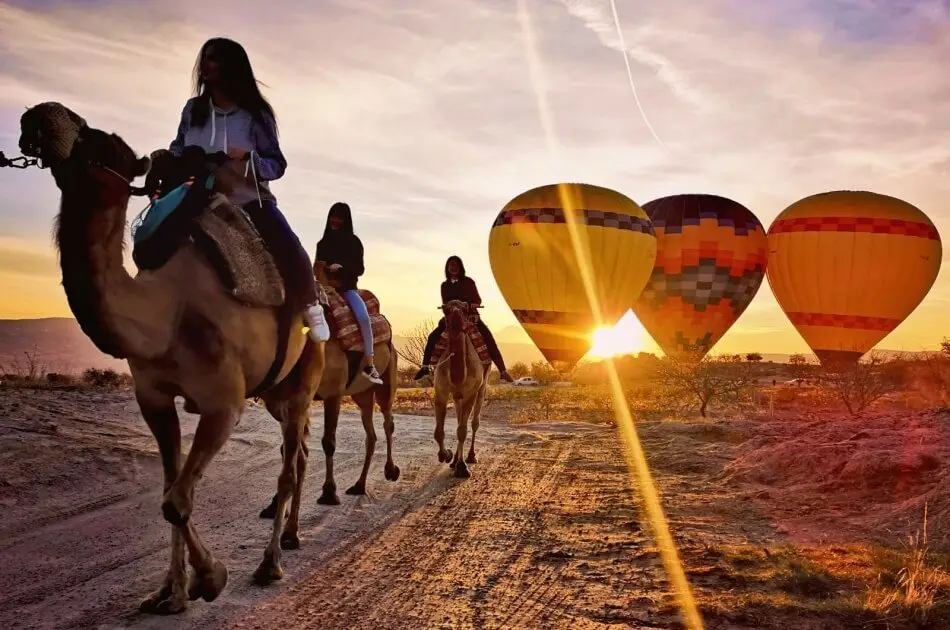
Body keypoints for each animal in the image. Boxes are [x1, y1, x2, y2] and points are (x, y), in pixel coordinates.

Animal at [17, 105, 328, 616]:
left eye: (102, 142)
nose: (38, 117)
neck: (165, 314)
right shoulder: (154, 398)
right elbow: (169, 489)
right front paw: (171, 592)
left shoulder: (224, 402)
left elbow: (177, 500)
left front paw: (213, 577)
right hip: (276, 392)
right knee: (296, 452)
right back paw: (291, 535)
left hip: (305, 377)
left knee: (289, 467)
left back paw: (270, 563)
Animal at [258, 260, 400, 520]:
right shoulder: (288, 400)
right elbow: (287, 448)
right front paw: (274, 506)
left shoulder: (333, 393)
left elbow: (328, 442)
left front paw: (328, 492)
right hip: (361, 394)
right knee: (371, 434)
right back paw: (359, 485)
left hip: (387, 377)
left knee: (388, 421)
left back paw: (391, 470)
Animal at [432, 302, 490, 478]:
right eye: (446, 310)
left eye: (466, 308)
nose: (457, 319)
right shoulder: (441, 392)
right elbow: (439, 432)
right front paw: (446, 455)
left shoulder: (471, 393)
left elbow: (463, 430)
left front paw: (463, 468)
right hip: (458, 396)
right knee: (459, 419)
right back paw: (454, 461)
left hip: (482, 387)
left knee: (474, 422)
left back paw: (470, 456)